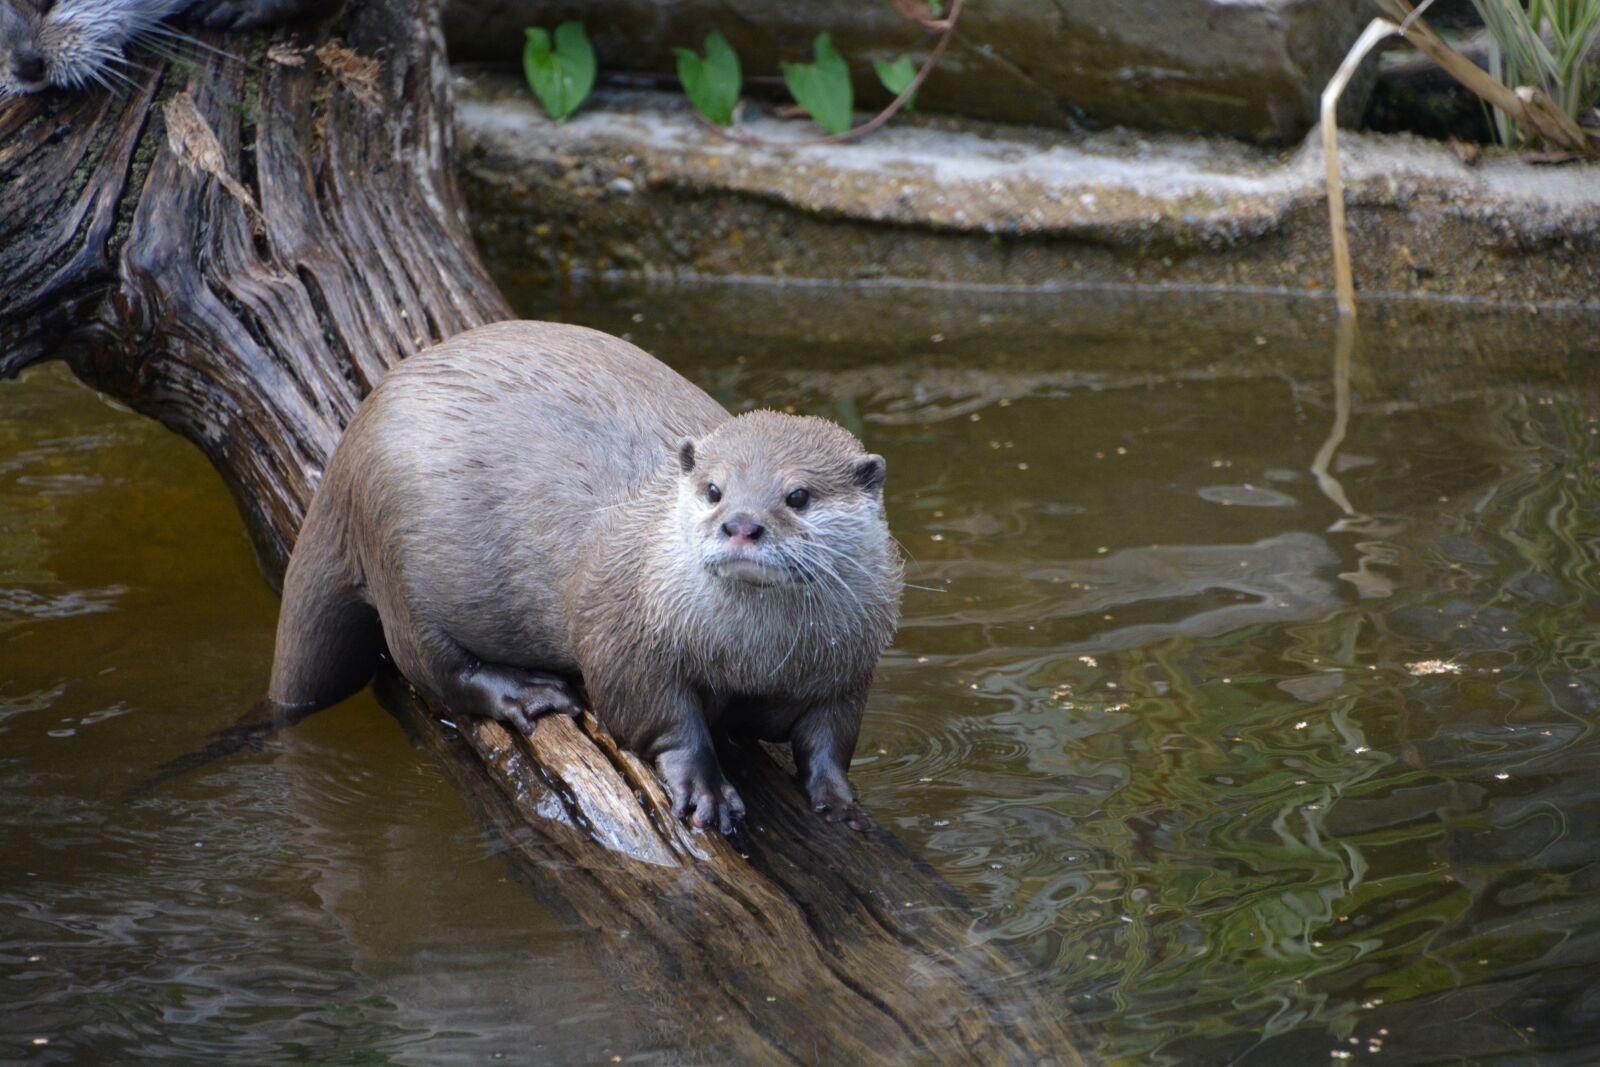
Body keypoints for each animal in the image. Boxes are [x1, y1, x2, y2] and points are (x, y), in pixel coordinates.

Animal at [269, 321, 902, 833]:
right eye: (714, 490)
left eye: (798, 496)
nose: (742, 524)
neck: (754, 659)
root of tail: (347, 452)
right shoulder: (624, 634)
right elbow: (657, 715)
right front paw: (705, 788)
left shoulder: (850, 666)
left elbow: (830, 737)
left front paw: (841, 800)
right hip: (395, 553)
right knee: (432, 669)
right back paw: (526, 692)